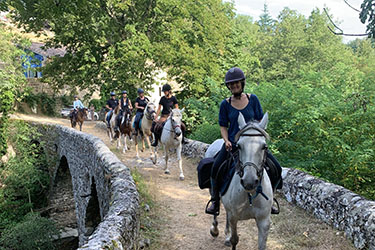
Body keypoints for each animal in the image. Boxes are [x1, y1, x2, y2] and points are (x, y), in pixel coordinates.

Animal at [206, 113, 274, 250]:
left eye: (264, 146)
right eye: (239, 146)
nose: (249, 182)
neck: (250, 195)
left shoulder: (264, 221)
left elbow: (261, 245)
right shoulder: (234, 217)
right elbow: (235, 240)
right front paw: (228, 237)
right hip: (213, 192)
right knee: (216, 208)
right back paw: (215, 230)